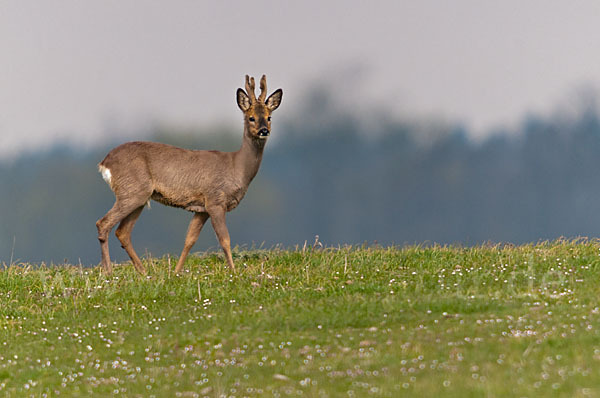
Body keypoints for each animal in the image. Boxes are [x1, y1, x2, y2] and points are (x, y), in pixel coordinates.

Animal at [96, 74, 284, 274]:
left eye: (269, 117)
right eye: (251, 118)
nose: (264, 131)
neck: (236, 167)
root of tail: (104, 163)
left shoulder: (201, 209)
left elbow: (189, 240)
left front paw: (176, 272)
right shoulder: (215, 200)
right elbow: (225, 240)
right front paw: (233, 271)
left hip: (140, 197)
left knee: (122, 232)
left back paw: (144, 272)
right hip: (131, 191)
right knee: (104, 223)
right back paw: (108, 271)